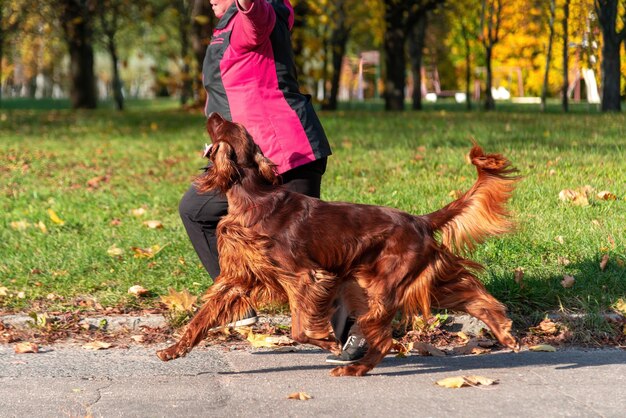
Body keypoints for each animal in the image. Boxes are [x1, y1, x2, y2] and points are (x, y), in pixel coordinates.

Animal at [156, 112, 516, 378]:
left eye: (224, 126)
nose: (213, 112)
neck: (251, 197)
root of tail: (419, 220)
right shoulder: (238, 277)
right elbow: (200, 319)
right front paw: (173, 350)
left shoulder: (307, 277)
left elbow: (300, 328)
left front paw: (328, 343)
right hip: (403, 280)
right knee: (474, 297)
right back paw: (504, 331)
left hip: (383, 286)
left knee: (384, 339)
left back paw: (355, 367)